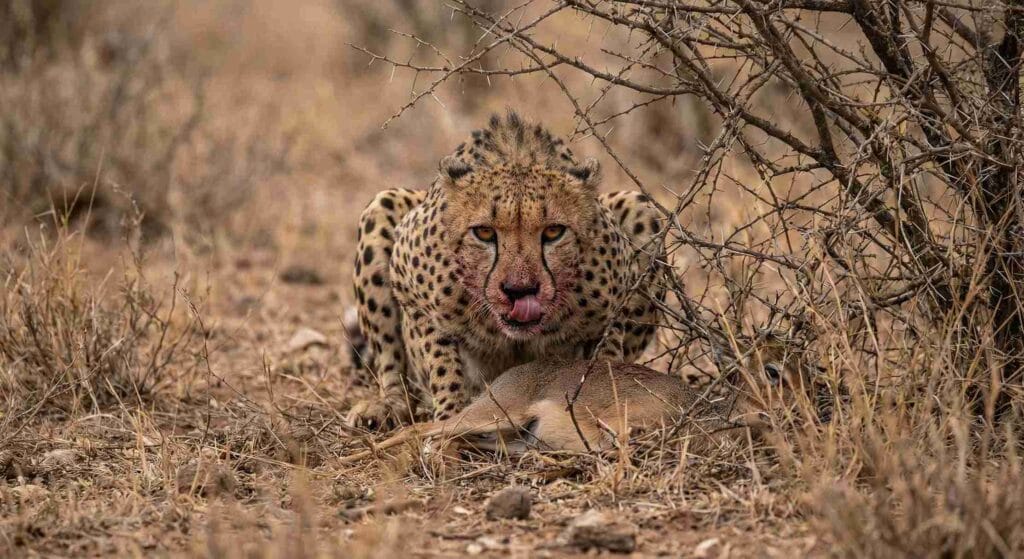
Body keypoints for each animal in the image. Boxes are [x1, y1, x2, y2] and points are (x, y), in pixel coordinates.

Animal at [348, 111, 665, 428]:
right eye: (484, 232)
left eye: (554, 232)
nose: (519, 291)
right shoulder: (409, 286)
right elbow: (442, 363)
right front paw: (450, 415)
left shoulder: (612, 308)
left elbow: (607, 362)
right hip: (381, 204)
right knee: (391, 363)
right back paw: (384, 407)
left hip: (645, 208)